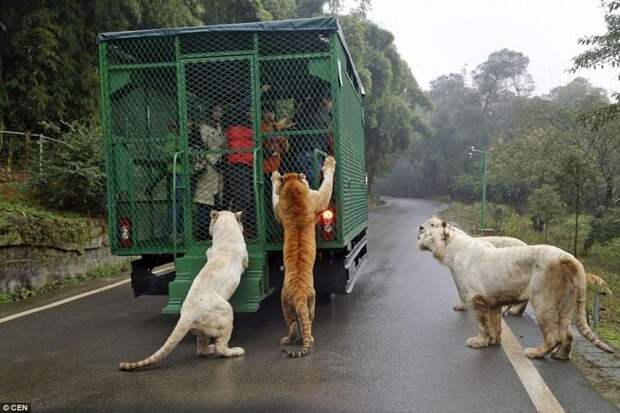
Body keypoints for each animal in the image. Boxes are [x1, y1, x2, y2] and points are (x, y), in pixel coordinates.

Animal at [120, 211, 248, 368]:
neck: (225, 231)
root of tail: (187, 315)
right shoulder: (244, 256)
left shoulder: (210, 251)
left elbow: (208, 251)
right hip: (226, 312)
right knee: (221, 347)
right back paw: (235, 351)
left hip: (201, 330)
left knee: (201, 349)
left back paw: (210, 348)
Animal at [414, 220, 612, 358]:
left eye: (429, 232)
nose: (418, 236)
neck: (451, 249)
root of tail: (569, 258)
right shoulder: (493, 301)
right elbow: (495, 323)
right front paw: (493, 341)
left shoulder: (477, 298)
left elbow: (483, 324)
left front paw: (479, 342)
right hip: (566, 304)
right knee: (568, 334)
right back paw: (560, 356)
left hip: (543, 301)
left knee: (553, 336)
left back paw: (534, 353)